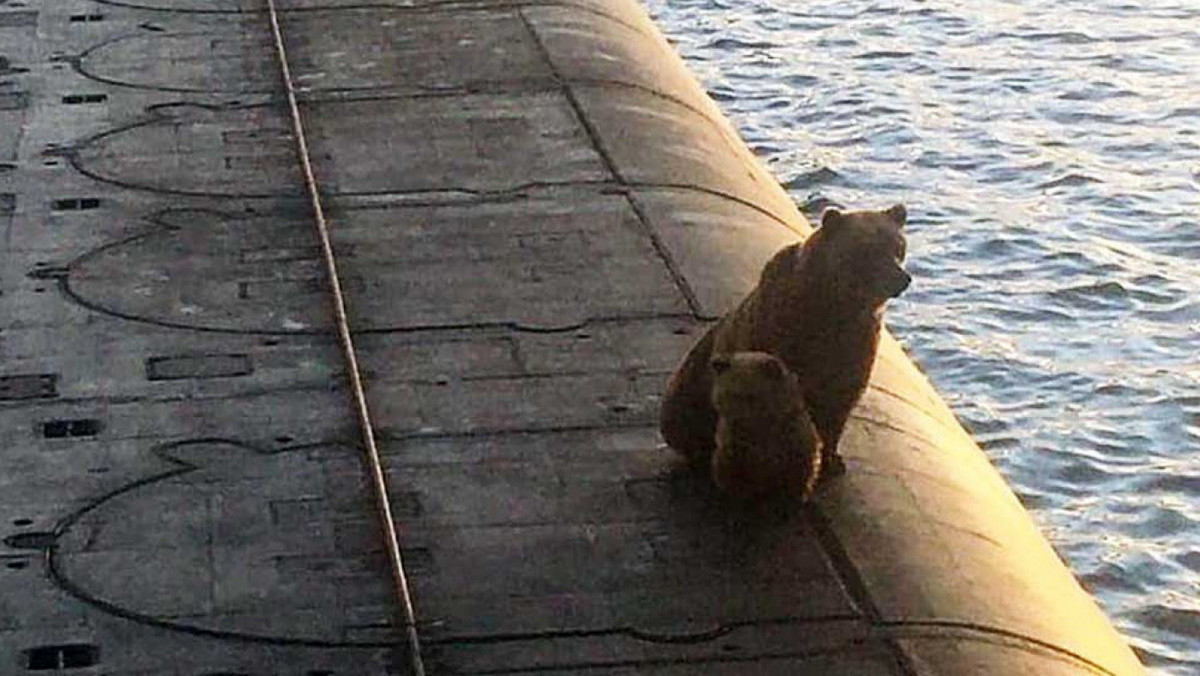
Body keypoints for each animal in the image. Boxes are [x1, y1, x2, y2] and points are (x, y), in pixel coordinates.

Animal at [657, 205, 907, 475]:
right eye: (868, 249)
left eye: (898, 247)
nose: (902, 279)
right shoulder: (779, 332)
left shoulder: (856, 347)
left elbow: (839, 406)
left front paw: (832, 460)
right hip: (687, 391)